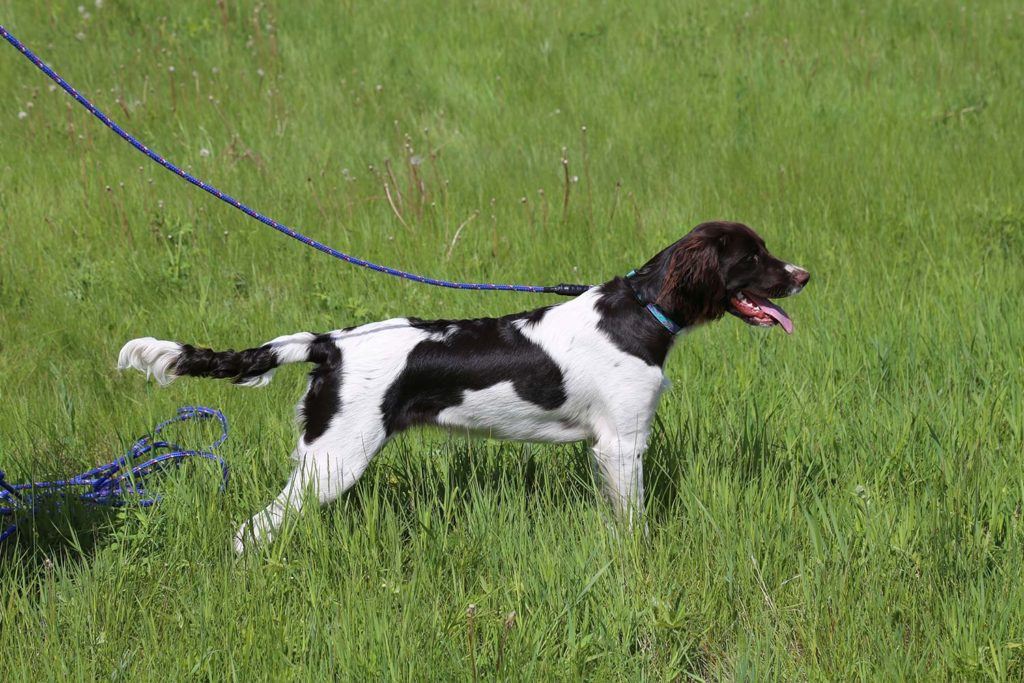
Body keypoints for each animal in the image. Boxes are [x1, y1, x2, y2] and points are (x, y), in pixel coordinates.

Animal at [117, 222, 806, 552]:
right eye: (753, 256)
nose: (804, 275)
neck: (639, 314)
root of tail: (329, 343)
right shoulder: (621, 444)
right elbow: (631, 524)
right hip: (334, 459)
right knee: (249, 530)